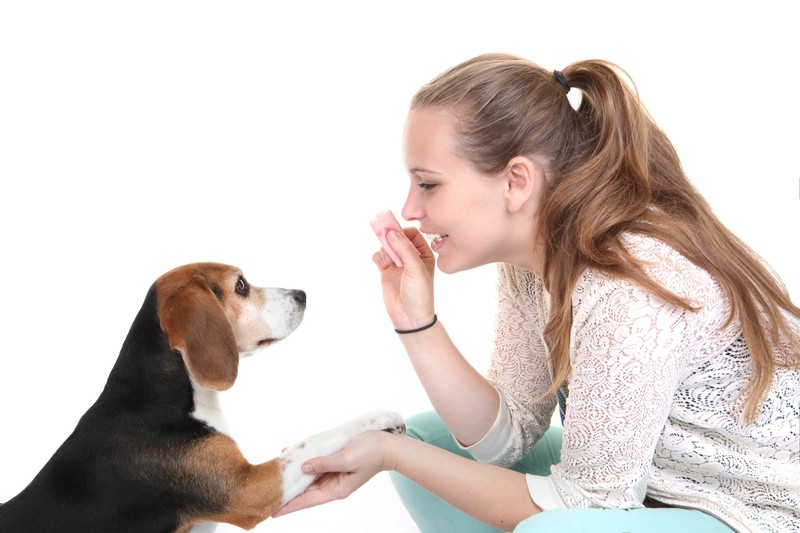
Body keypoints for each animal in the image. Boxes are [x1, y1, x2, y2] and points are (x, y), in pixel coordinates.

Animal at [0, 262, 404, 532]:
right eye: (241, 286)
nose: (301, 294)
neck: (158, 401)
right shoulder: (249, 489)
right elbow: (314, 441)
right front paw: (380, 417)